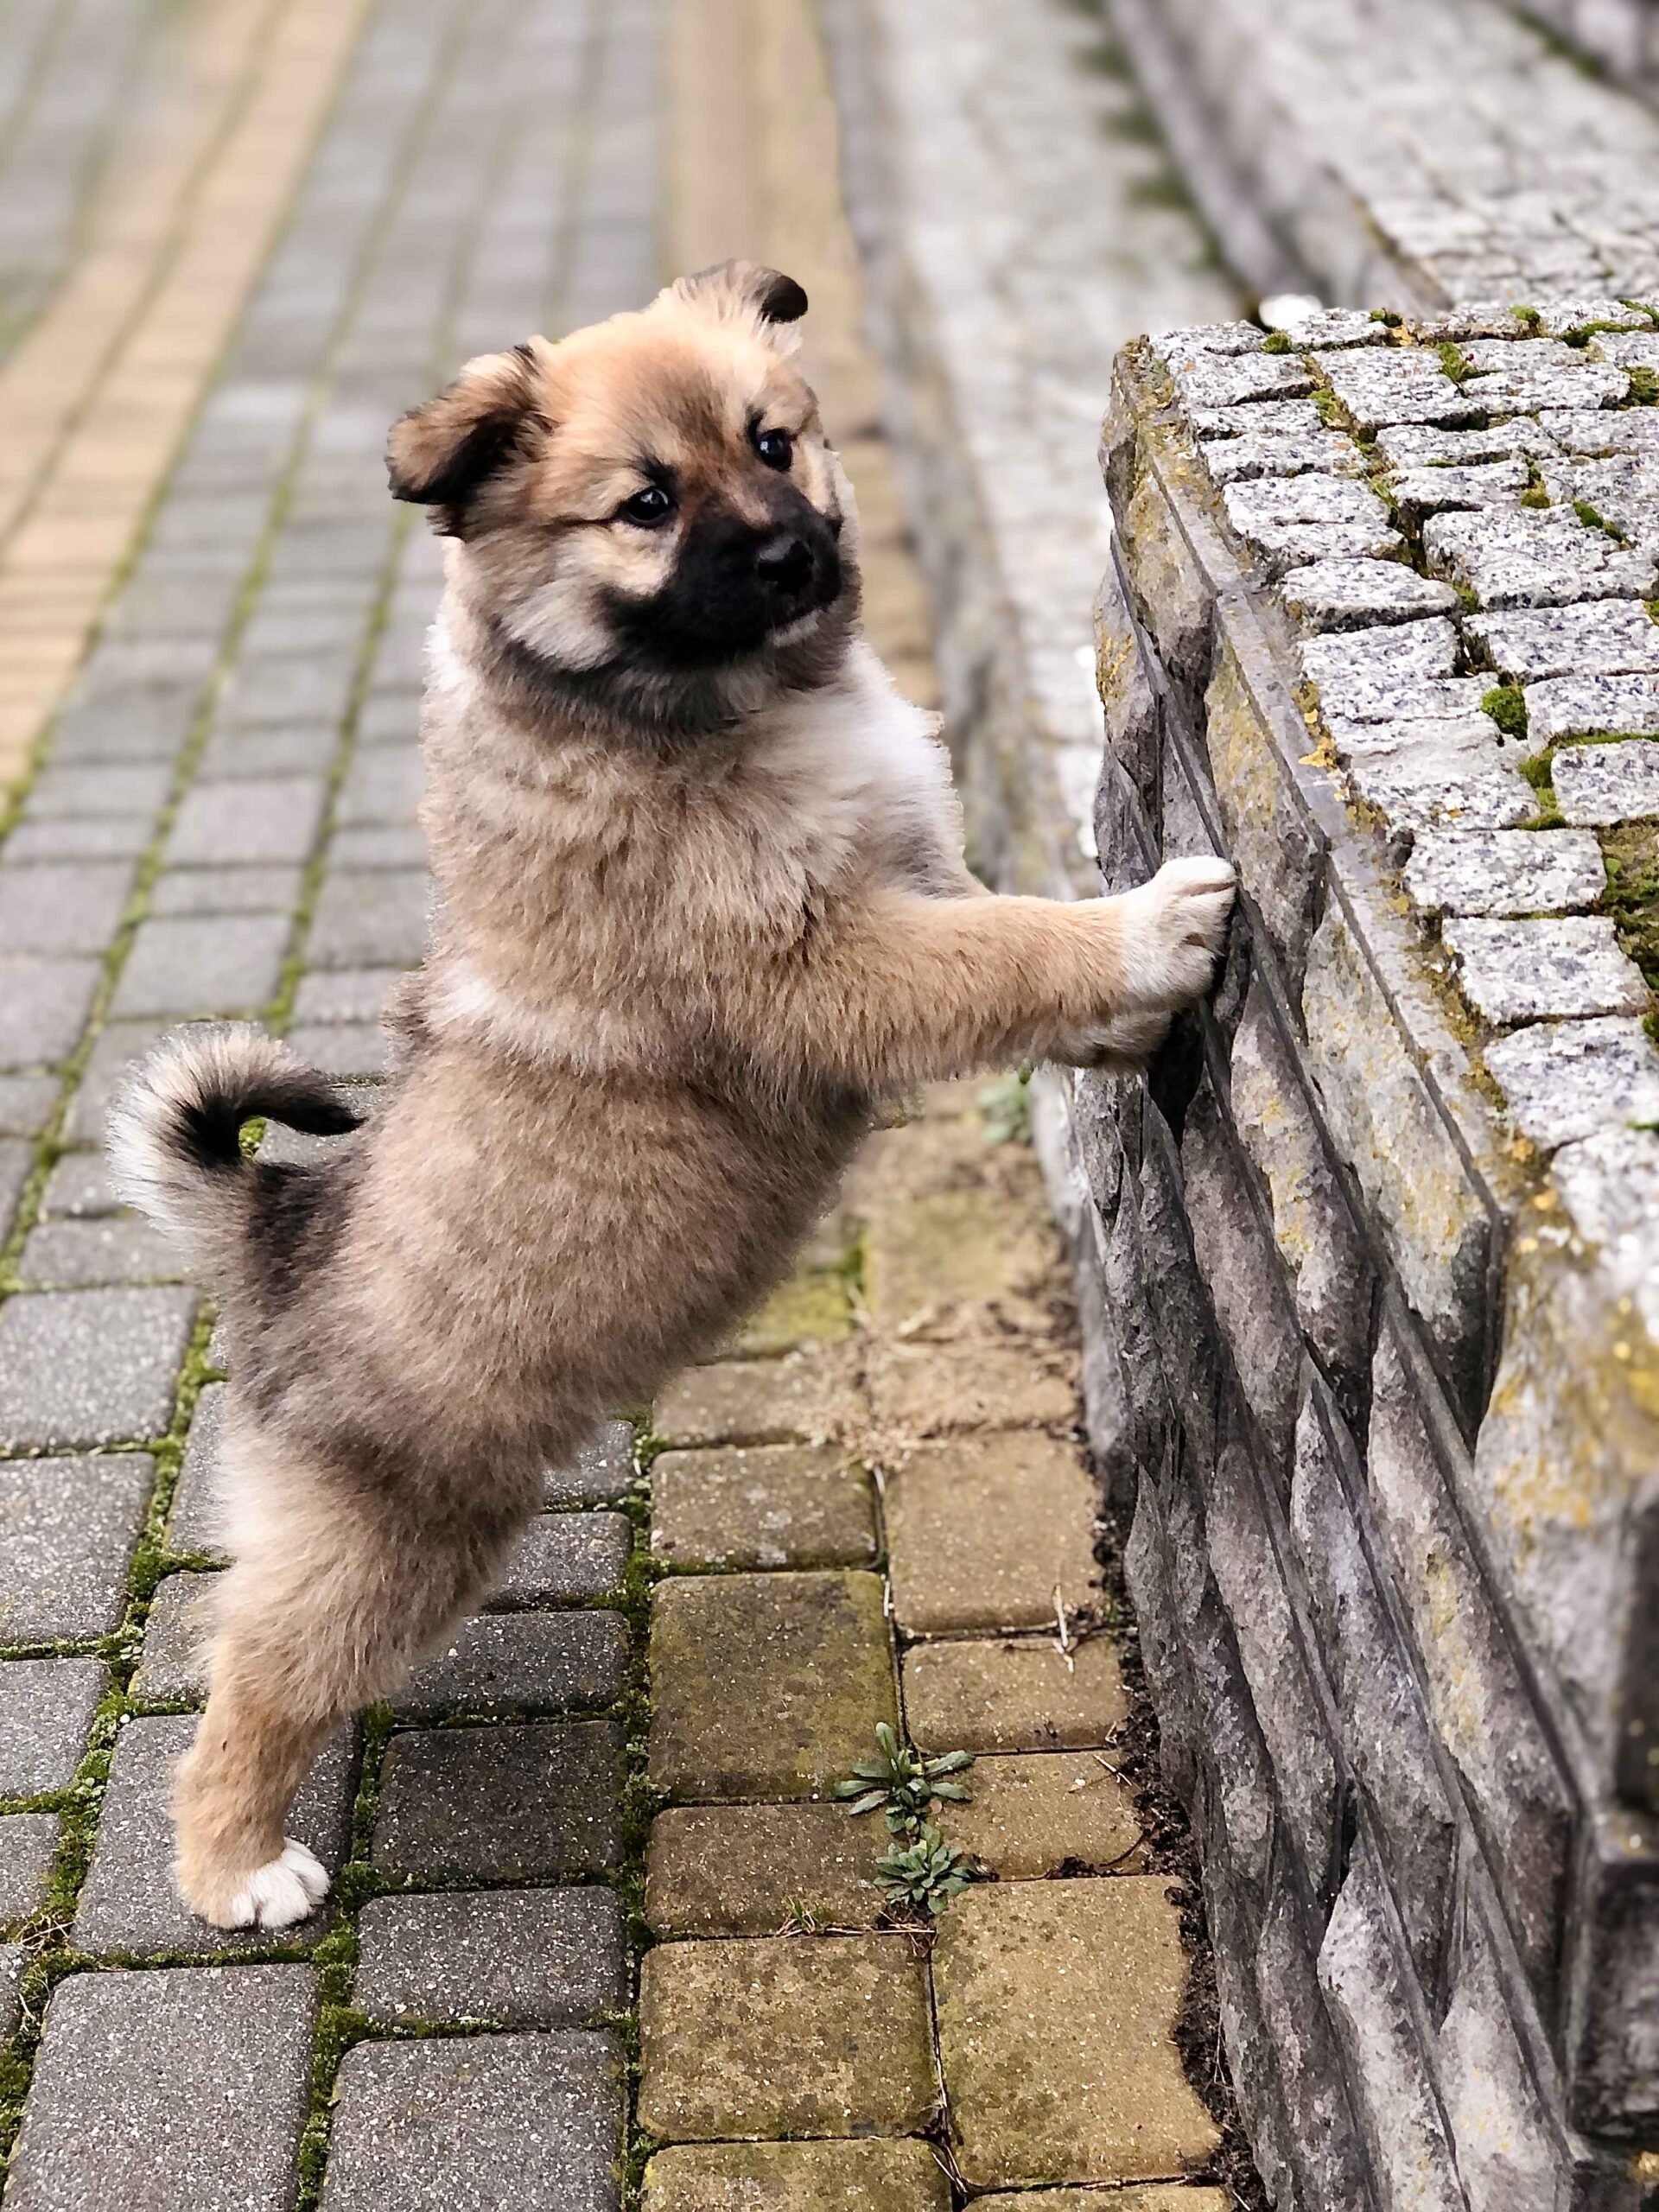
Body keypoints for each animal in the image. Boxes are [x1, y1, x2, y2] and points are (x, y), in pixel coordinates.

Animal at [111, 258, 1238, 1929]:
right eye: (645, 505)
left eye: (774, 443)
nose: (792, 553)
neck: (694, 705)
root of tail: (269, 1230)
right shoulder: (821, 960)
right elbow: (1007, 951)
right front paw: (1148, 930)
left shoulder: (909, 876)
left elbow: (995, 933)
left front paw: (1115, 1021)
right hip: (383, 1535)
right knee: (251, 1681)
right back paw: (237, 1867)